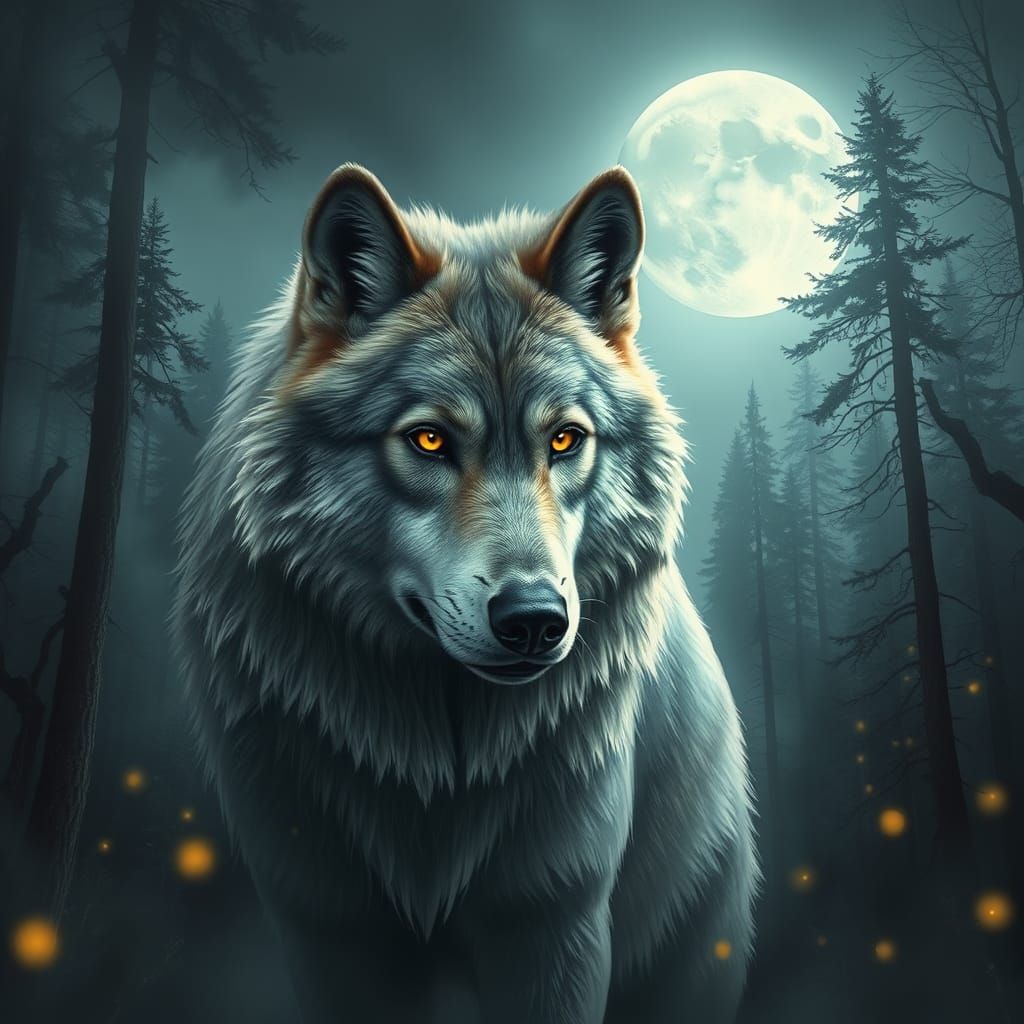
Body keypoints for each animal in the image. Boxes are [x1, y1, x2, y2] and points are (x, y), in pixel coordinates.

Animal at [172, 163, 757, 1024]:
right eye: (429, 440)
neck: (437, 766)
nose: (534, 620)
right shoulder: (328, 927)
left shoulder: (552, 922)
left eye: (564, 439)